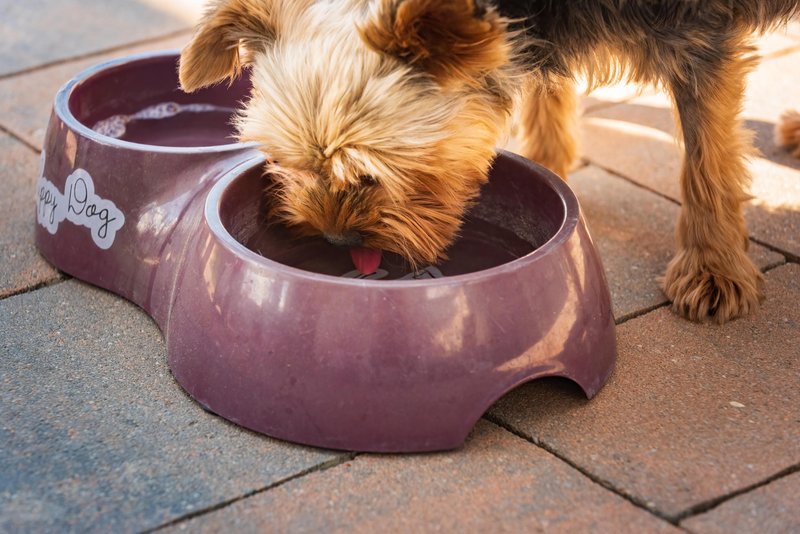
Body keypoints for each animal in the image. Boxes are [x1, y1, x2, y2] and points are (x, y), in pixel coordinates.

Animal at [180, 2, 800, 324]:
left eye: (372, 175)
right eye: (290, 164)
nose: (336, 241)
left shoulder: (698, 33)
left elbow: (706, 158)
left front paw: (713, 267)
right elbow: (544, 87)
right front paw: (548, 165)